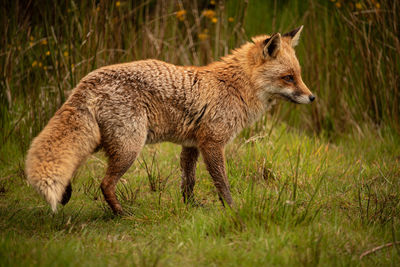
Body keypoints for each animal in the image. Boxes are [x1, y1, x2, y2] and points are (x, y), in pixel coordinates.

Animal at [25, 24, 314, 214]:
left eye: (299, 75)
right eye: (288, 78)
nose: (312, 97)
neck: (233, 87)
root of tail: (87, 80)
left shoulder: (191, 145)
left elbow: (188, 181)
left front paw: (190, 208)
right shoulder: (213, 143)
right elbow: (222, 183)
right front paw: (232, 210)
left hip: (103, 142)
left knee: (73, 165)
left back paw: (67, 195)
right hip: (128, 148)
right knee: (104, 184)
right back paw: (120, 214)